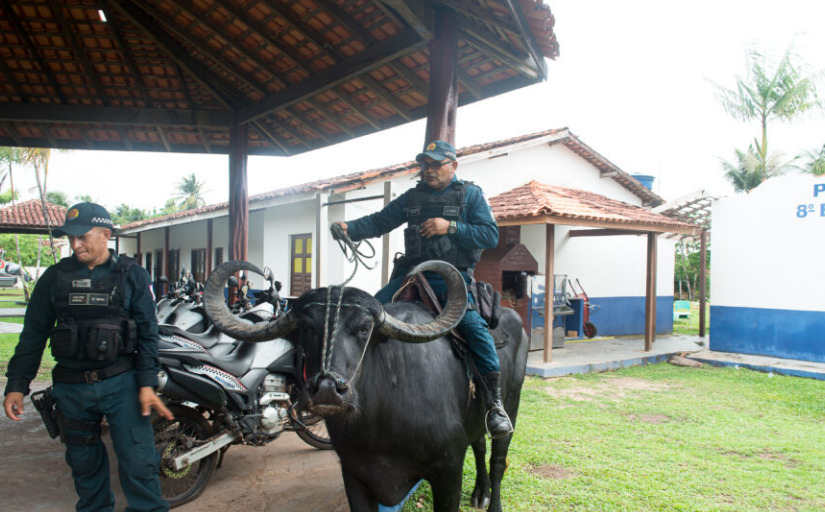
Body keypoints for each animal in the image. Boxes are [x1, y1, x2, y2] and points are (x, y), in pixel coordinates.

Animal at [204, 262, 528, 512]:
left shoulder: (447, 470)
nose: (327, 390)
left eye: (363, 329)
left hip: (511, 406)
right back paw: (479, 493)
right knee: (480, 443)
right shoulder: (355, 475)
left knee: (498, 456)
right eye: (306, 328)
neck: (378, 426)